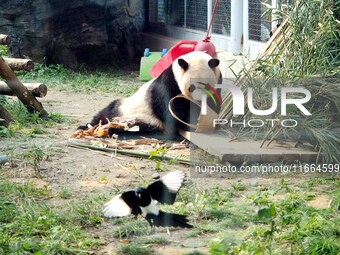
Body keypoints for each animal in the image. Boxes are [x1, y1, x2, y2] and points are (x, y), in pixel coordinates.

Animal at [79, 50, 223, 136]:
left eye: (207, 86)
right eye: (191, 87)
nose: (198, 99)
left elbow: (215, 105)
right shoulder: (169, 82)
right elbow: (169, 108)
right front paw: (188, 122)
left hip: (147, 121)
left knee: (136, 127)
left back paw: (113, 129)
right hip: (123, 106)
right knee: (105, 113)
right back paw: (88, 127)